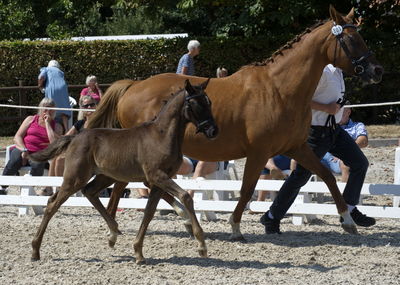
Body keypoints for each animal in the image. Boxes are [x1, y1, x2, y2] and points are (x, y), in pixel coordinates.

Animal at [29, 79, 217, 262]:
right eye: (196, 103)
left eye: (209, 102)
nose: (213, 131)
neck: (161, 136)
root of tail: (75, 137)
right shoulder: (157, 176)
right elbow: (185, 197)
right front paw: (202, 245)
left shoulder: (158, 181)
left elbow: (149, 212)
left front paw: (138, 252)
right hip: (75, 177)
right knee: (53, 203)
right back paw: (35, 250)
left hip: (105, 177)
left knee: (89, 192)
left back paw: (113, 234)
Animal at [86, 5, 382, 239]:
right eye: (352, 39)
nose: (376, 70)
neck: (279, 89)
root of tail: (133, 86)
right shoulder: (259, 152)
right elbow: (247, 189)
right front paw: (236, 226)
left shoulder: (297, 147)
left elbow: (326, 177)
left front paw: (348, 220)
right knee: (140, 184)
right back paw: (174, 218)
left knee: (127, 184)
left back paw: (125, 222)